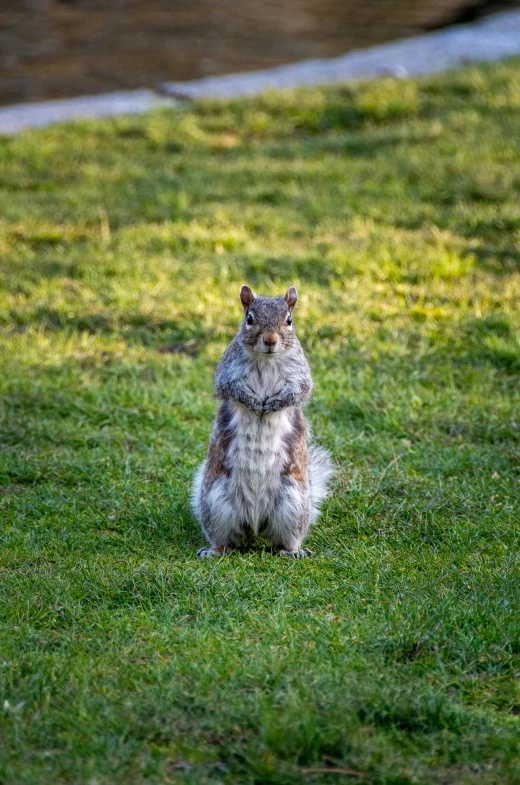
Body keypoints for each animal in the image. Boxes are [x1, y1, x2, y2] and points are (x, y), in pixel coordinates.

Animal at [191, 286, 334, 556]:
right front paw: (254, 403)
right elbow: (230, 388)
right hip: (217, 502)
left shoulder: (300, 375)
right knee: (226, 539)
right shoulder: (227, 372)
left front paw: (273, 404)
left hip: (293, 502)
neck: (266, 360)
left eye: (289, 320)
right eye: (249, 319)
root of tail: (255, 525)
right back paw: (215, 551)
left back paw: (293, 552)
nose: (269, 340)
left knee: (284, 540)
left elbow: (299, 392)